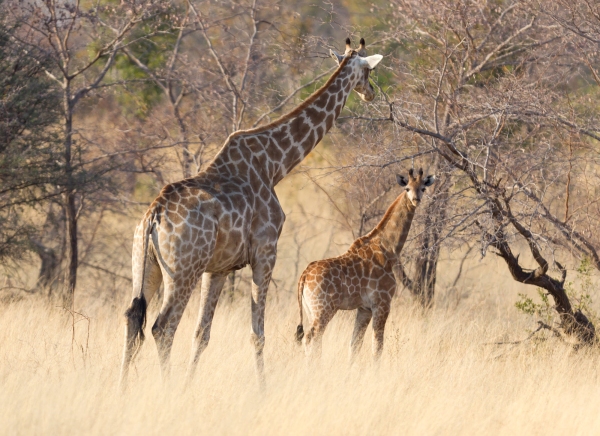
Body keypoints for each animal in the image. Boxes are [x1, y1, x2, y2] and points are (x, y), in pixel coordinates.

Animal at [120, 38, 384, 388]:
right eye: (368, 71)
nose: (371, 93)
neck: (273, 165)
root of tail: (153, 218)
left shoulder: (218, 268)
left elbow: (201, 333)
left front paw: (190, 384)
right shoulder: (265, 251)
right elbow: (257, 334)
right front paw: (263, 389)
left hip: (146, 264)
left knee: (132, 320)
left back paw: (122, 390)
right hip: (182, 270)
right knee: (162, 328)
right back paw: (166, 389)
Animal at [296, 170, 434, 362]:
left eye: (423, 188)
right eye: (407, 188)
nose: (416, 199)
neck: (388, 249)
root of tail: (304, 276)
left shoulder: (364, 308)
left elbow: (355, 345)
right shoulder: (382, 303)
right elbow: (378, 347)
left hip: (310, 311)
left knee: (311, 340)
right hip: (323, 309)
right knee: (311, 338)